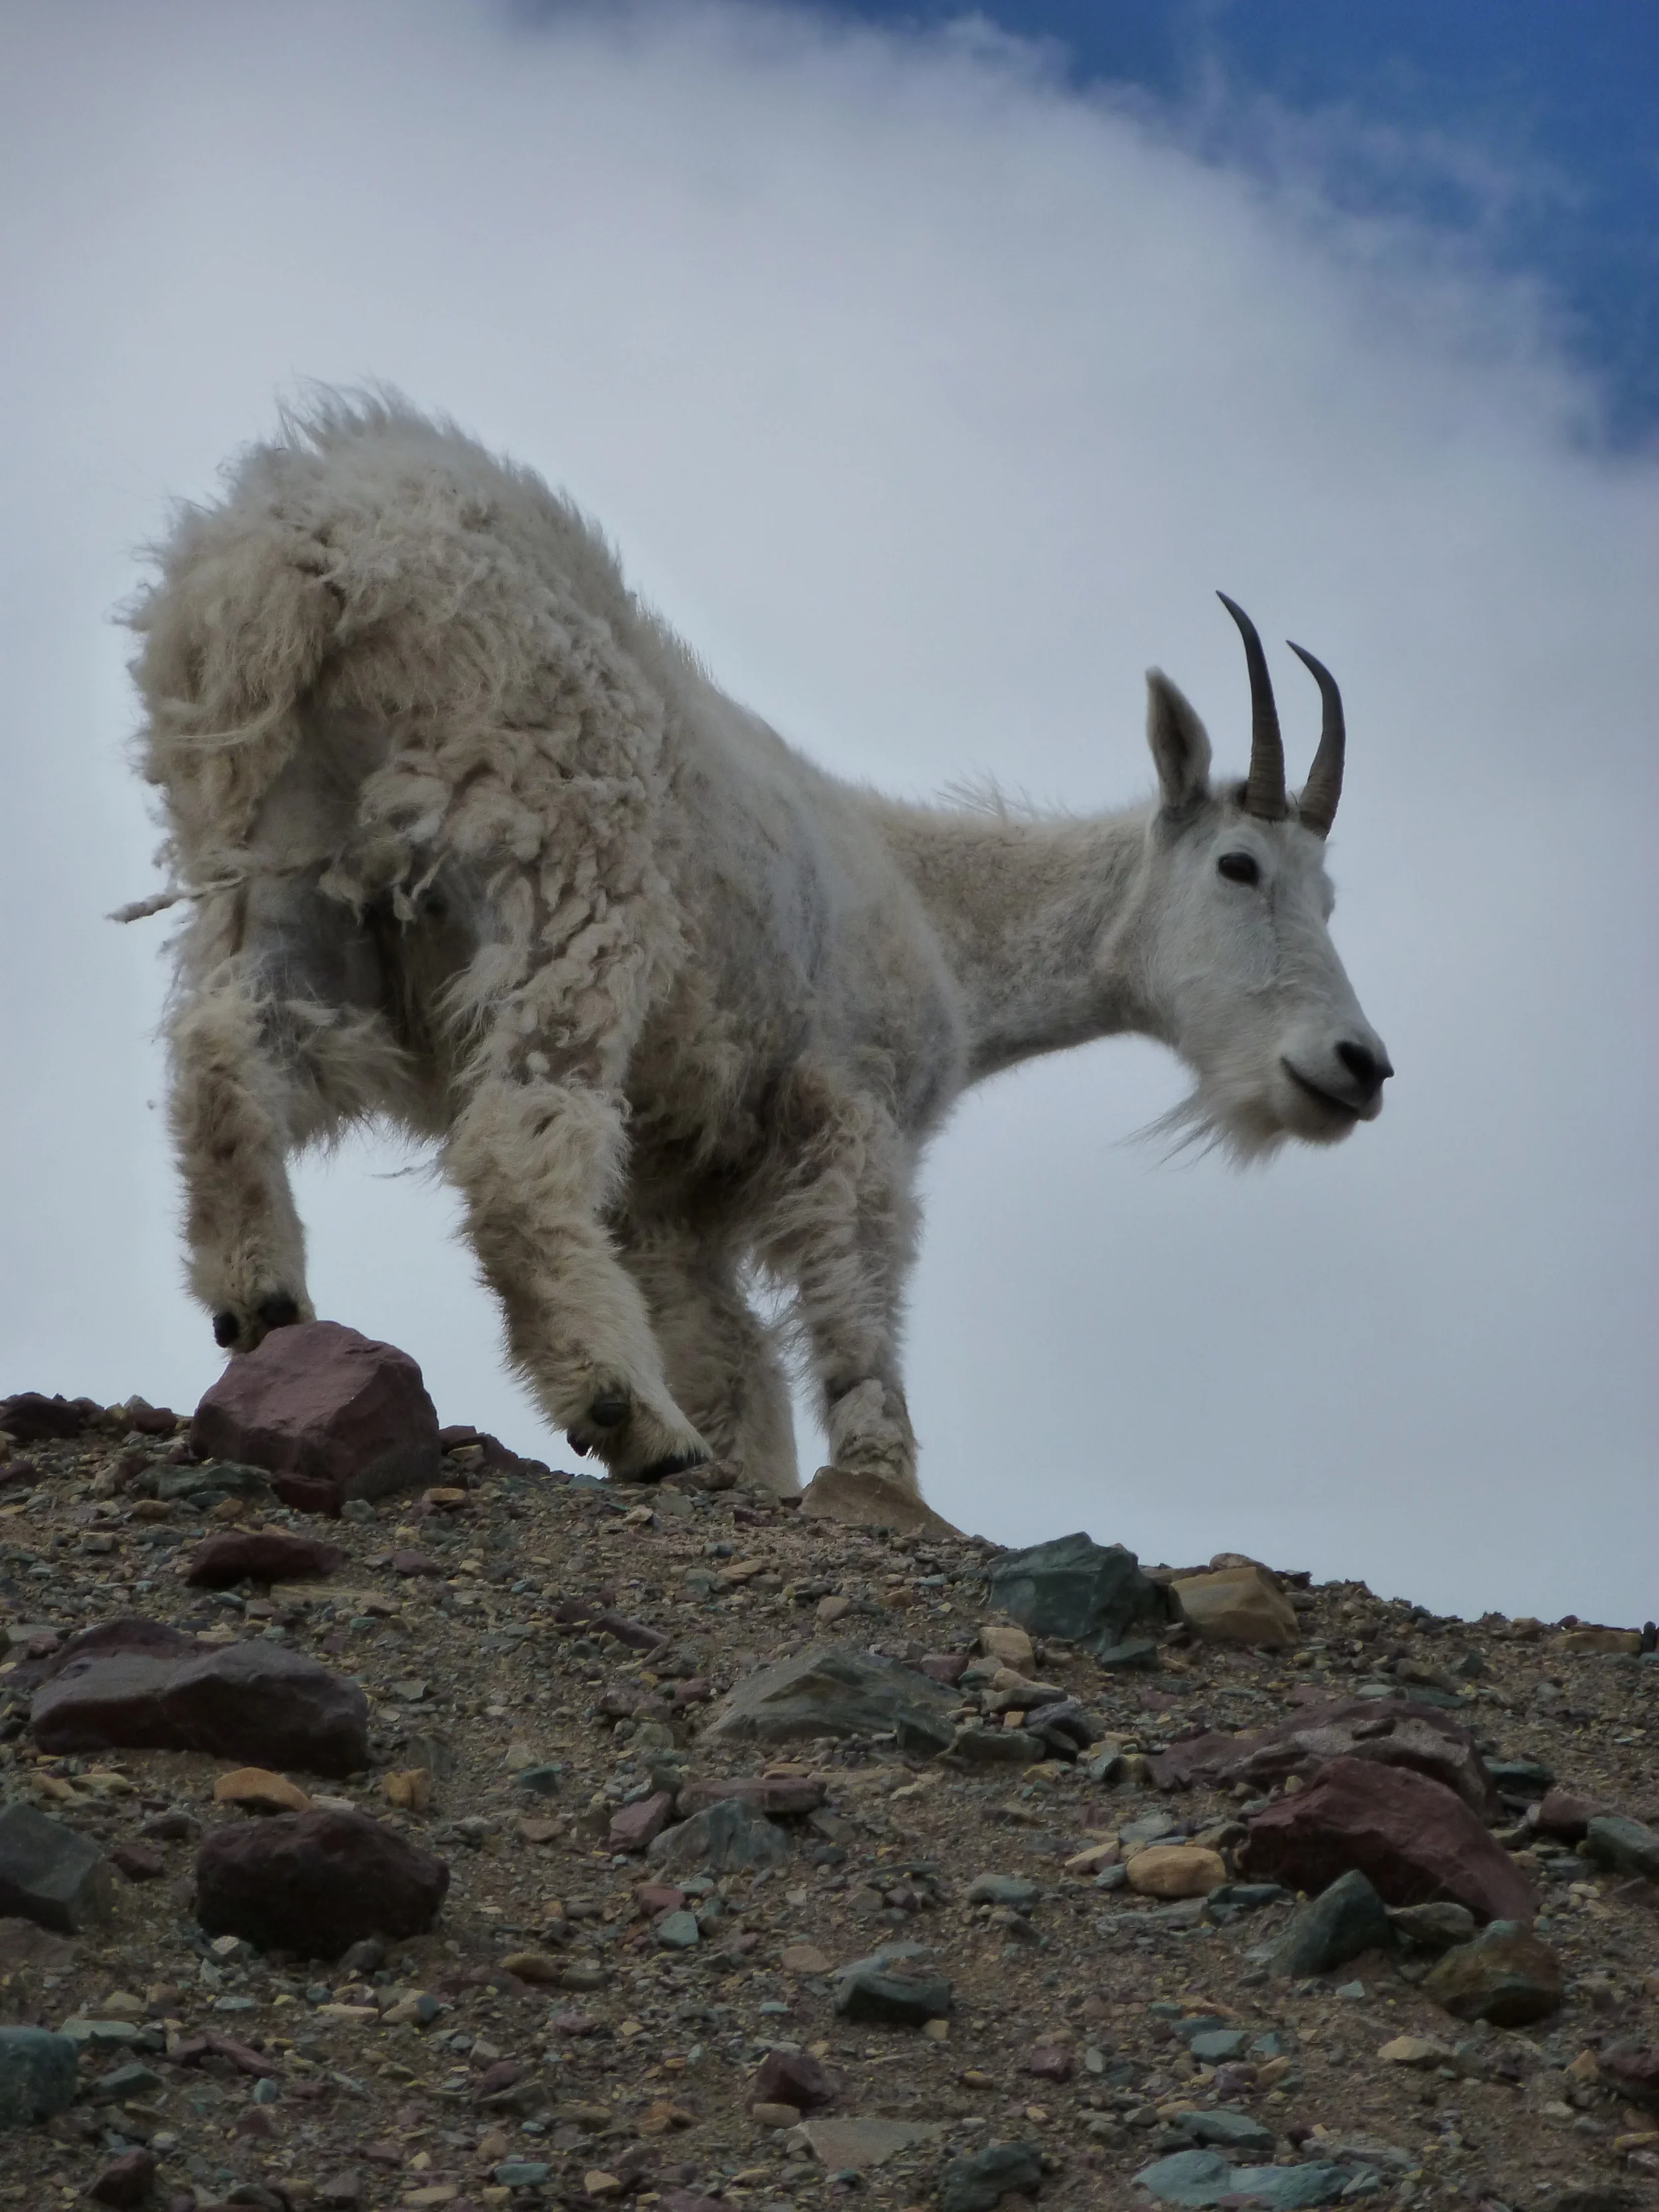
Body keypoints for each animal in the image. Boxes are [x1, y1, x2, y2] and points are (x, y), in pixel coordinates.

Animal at [124, 396, 1392, 1499]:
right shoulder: (851, 1106)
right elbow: (853, 1309)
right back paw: (627, 1413)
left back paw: (258, 1296)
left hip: (283, 860)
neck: (941, 911)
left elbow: (732, 1356)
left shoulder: (675, 1186)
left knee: (225, 1042)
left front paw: (761, 1476)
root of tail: (311, 546)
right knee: (517, 1138)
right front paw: (881, 1482)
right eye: (1241, 866)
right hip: (564, 873)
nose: (1357, 1065)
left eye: (1333, 895)